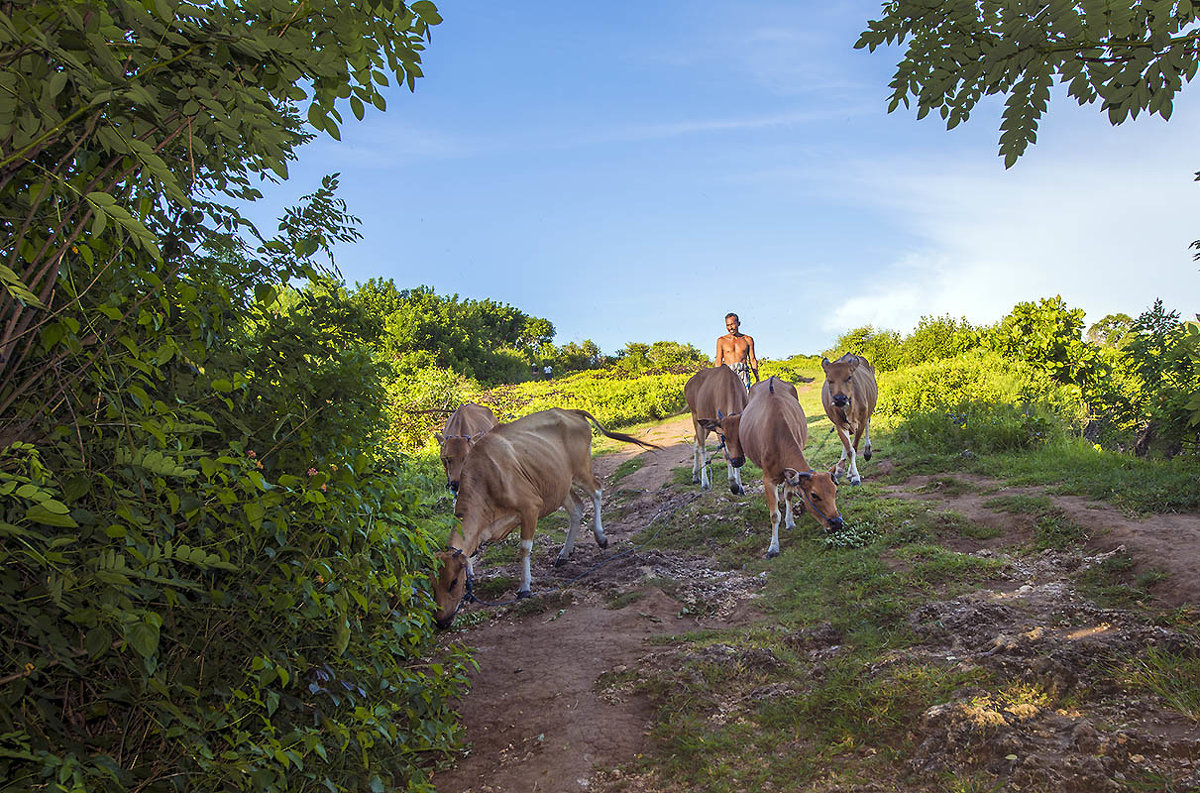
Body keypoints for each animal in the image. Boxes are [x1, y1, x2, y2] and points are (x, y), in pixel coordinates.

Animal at [432, 407, 657, 623]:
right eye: (433, 585)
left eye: (453, 582)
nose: (441, 622)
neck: (485, 480)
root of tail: (571, 411)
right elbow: (471, 553)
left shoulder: (531, 507)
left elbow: (525, 548)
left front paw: (524, 588)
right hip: (559, 484)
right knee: (577, 508)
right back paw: (564, 554)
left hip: (581, 471)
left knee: (597, 491)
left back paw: (600, 536)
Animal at [739, 376, 844, 556]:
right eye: (814, 495)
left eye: (835, 491)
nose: (837, 523)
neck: (777, 437)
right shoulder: (768, 479)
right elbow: (774, 515)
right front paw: (773, 547)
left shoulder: (789, 475)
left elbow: (788, 495)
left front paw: (790, 522)